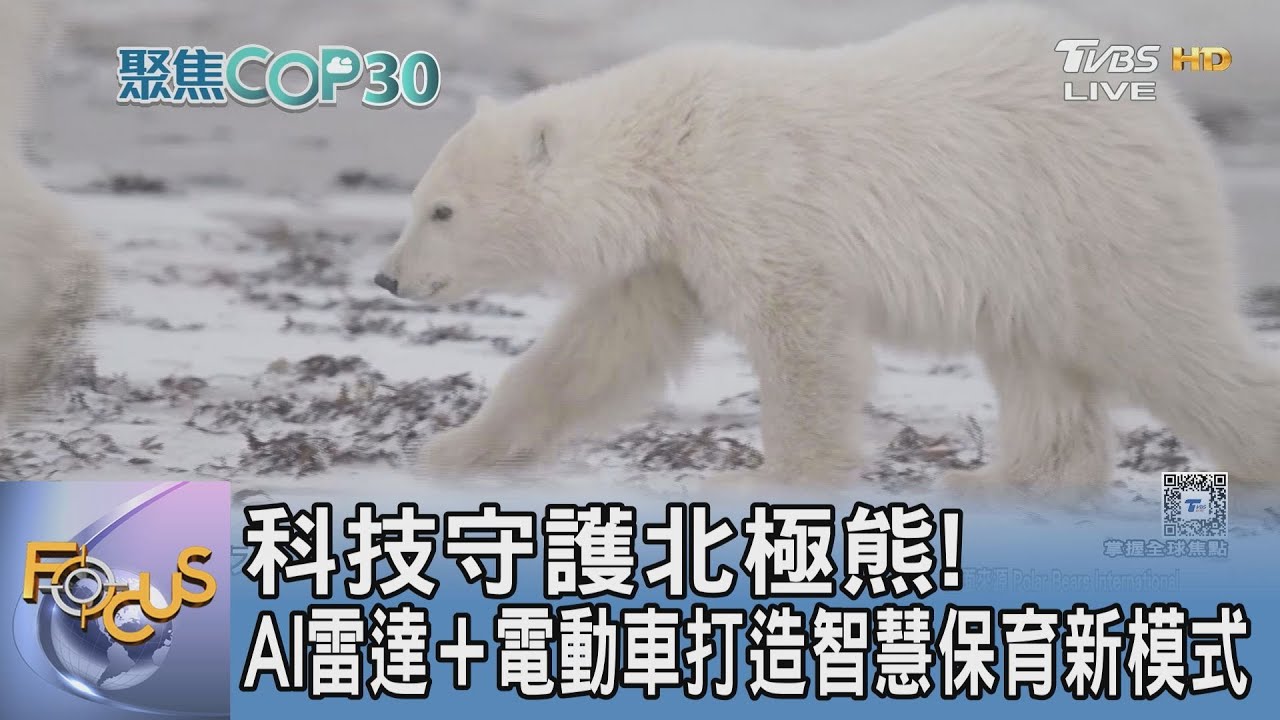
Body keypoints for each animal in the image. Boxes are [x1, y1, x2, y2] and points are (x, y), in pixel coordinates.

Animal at [374, 3, 1280, 496]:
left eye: (442, 209)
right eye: (419, 201)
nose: (387, 278)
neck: (667, 142)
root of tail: (1168, 110)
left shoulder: (748, 196)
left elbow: (798, 334)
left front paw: (768, 474)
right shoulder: (670, 250)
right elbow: (599, 348)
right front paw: (456, 448)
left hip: (1086, 218)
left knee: (1166, 341)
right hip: (1030, 256)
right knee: (1037, 361)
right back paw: (1001, 477)